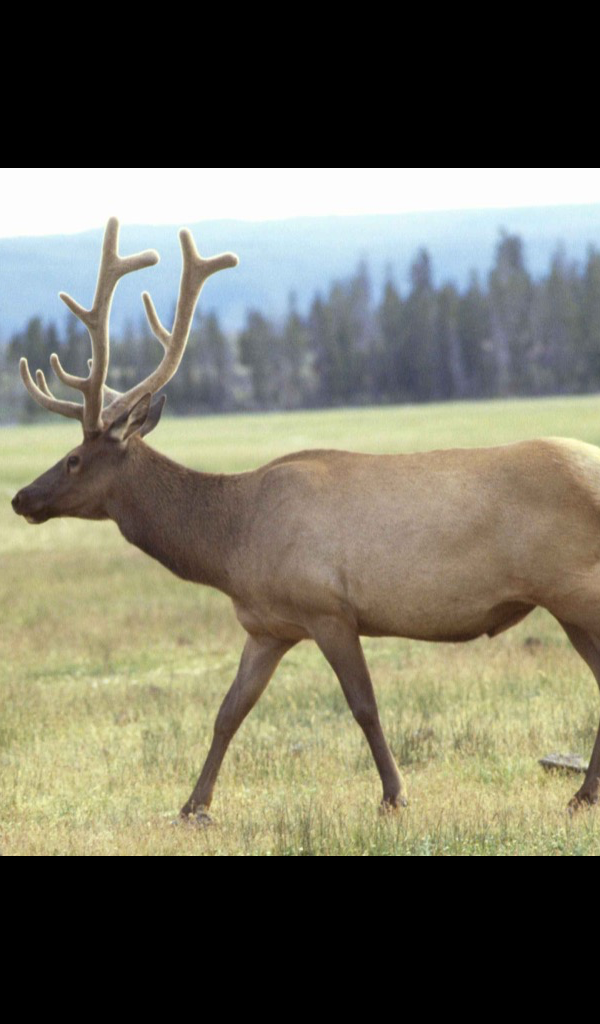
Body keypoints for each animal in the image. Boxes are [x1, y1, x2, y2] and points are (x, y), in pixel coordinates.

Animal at [11, 217, 600, 822]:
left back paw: (581, 793)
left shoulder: (328, 607)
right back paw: (582, 794)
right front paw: (193, 806)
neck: (229, 547)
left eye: (73, 458)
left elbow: (364, 705)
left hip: (575, 587)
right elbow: (228, 711)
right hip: (568, 603)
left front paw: (395, 795)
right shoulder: (267, 626)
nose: (22, 498)